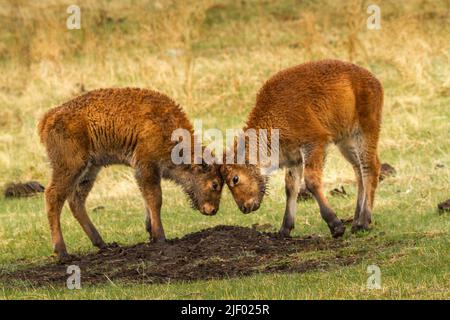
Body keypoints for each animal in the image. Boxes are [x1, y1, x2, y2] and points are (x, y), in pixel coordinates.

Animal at [38, 87, 223, 260]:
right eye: (214, 184)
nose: (213, 210)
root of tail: (48, 117)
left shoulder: (144, 171)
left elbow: (147, 199)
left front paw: (151, 232)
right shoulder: (147, 167)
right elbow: (155, 199)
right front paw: (160, 237)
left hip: (90, 170)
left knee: (76, 200)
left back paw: (102, 244)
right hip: (71, 166)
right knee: (53, 196)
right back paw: (62, 251)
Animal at [221, 59, 384, 238]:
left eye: (235, 178)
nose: (244, 207)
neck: (275, 114)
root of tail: (372, 79)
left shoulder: (314, 144)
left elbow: (311, 181)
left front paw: (336, 226)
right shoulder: (294, 158)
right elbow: (291, 187)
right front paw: (284, 229)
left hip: (365, 132)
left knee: (370, 167)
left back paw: (364, 222)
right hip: (345, 141)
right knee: (358, 170)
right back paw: (355, 222)